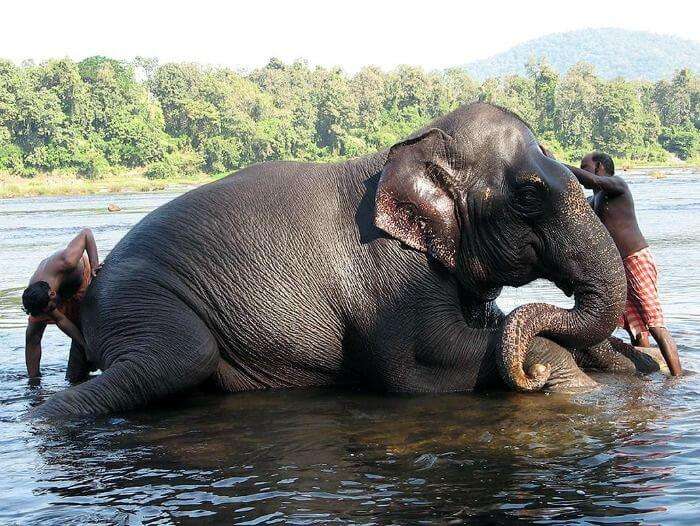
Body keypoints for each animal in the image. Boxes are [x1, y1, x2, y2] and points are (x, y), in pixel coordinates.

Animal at [34, 101, 644, 418]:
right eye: (528, 194)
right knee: (178, 356)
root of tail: (96, 284)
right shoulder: (393, 274)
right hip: (142, 299)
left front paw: (626, 363)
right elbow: (426, 362)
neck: (409, 148)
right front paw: (567, 382)